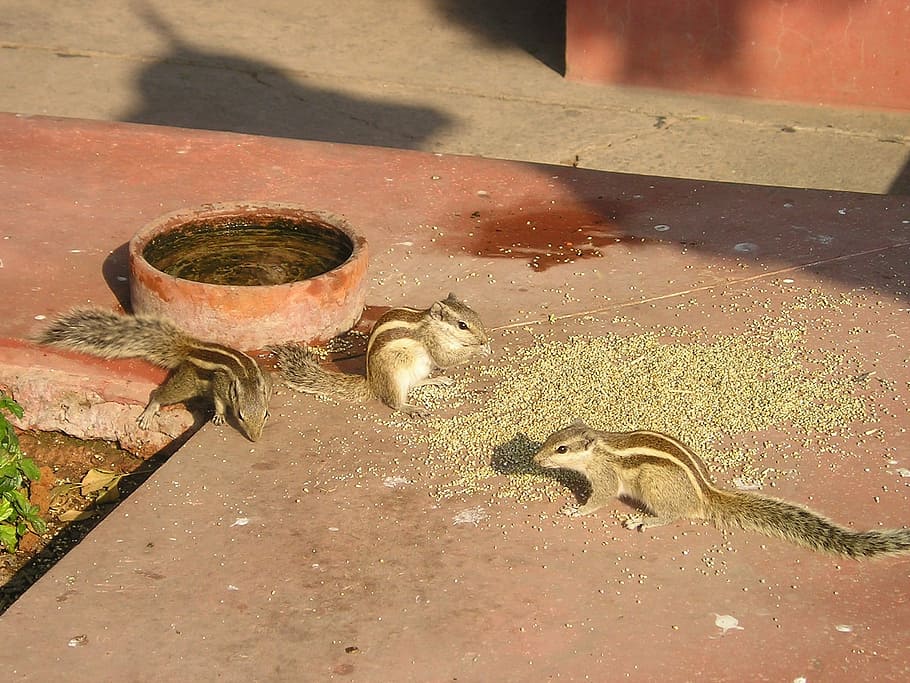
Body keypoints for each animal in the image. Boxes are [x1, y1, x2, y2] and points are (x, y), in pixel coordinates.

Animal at [36, 308, 271, 441]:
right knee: (160, 394)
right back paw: (150, 411)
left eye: (266, 415)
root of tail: (190, 349)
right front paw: (220, 415)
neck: (247, 380)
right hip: (185, 384)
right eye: (240, 415)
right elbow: (219, 401)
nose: (255, 439)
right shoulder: (220, 385)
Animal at [269, 293, 491, 417]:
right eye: (462, 325)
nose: (483, 339)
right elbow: (445, 358)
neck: (434, 326)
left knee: (415, 383)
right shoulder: (433, 342)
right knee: (394, 402)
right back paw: (411, 408)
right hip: (394, 377)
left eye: (475, 314)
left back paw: (436, 380)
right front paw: (478, 349)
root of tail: (373, 383)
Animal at [534, 422, 910, 558]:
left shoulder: (606, 477)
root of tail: (705, 494)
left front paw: (577, 509)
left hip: (654, 487)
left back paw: (645, 521)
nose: (537, 458)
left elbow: (600, 498)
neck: (599, 448)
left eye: (562, 449)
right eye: (551, 438)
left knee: (673, 515)